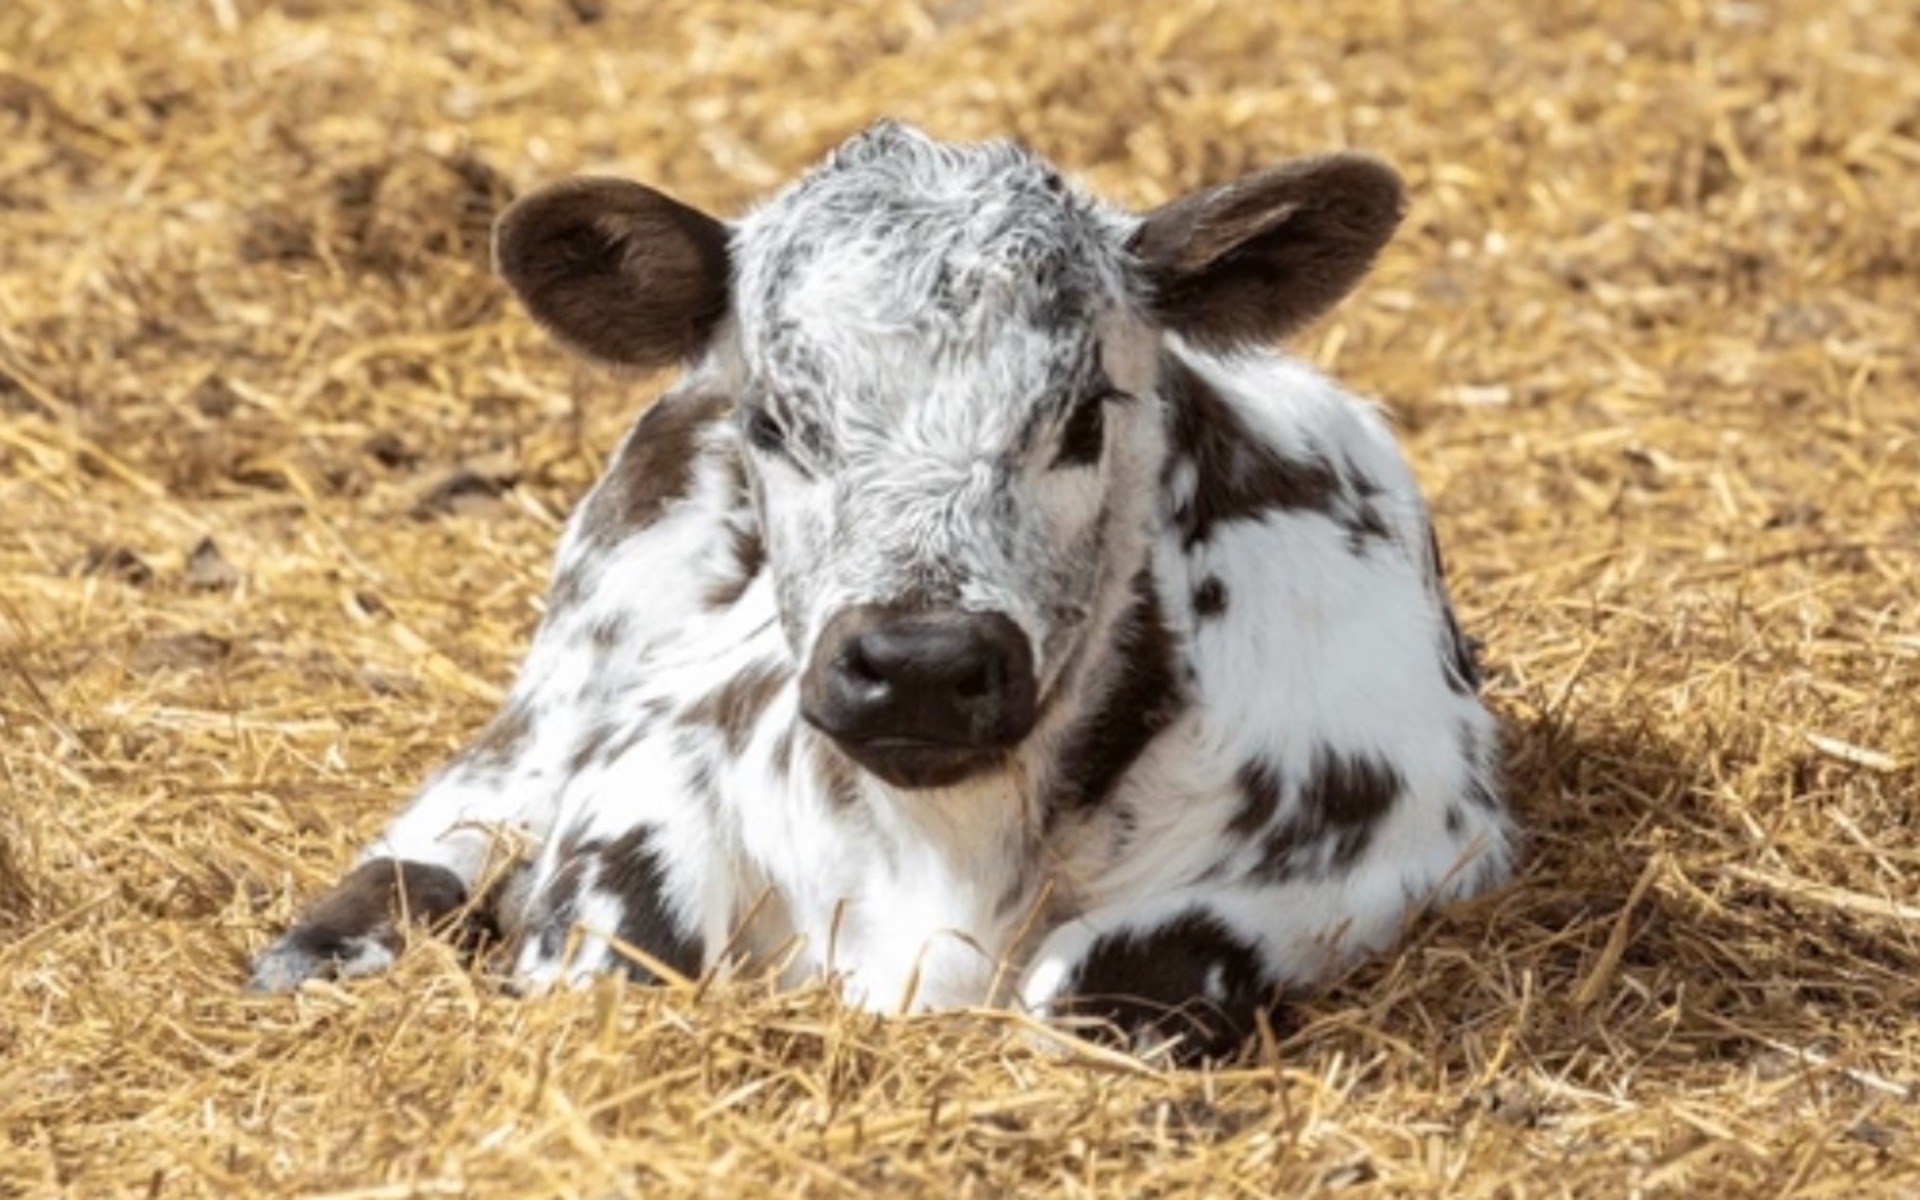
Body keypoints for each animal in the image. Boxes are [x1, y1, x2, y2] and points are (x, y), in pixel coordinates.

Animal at [255, 121, 1512, 1059]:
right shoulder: (638, 779)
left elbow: (1103, 991)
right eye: (775, 421)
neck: (951, 849)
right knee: (462, 805)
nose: (918, 666)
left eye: (1083, 417)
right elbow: (600, 948)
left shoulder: (1406, 838)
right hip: (579, 653)